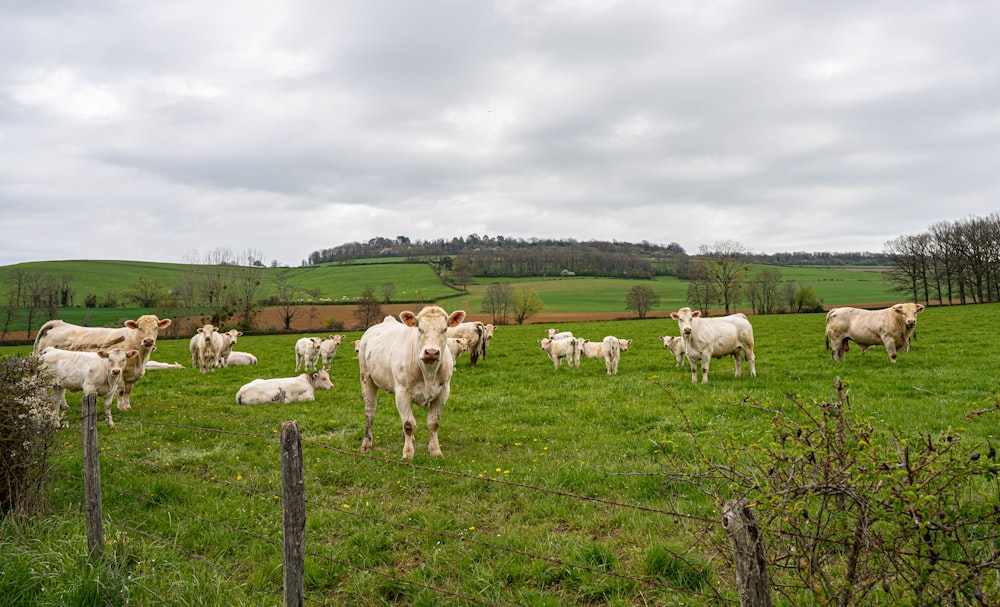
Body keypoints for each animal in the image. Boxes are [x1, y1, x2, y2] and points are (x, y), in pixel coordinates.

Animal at [31, 314, 171, 414]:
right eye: (139, 328)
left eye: (156, 328)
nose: (148, 341)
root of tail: (59, 323)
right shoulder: (119, 375)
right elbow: (121, 391)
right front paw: (121, 408)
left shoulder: (131, 376)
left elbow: (127, 392)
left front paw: (128, 407)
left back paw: (63, 405)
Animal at [362, 306, 466, 458]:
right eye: (419, 328)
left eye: (445, 329)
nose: (431, 352)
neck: (428, 374)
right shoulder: (402, 392)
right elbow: (409, 424)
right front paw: (408, 453)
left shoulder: (444, 391)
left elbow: (433, 422)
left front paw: (435, 451)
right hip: (366, 377)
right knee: (370, 412)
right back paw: (366, 444)